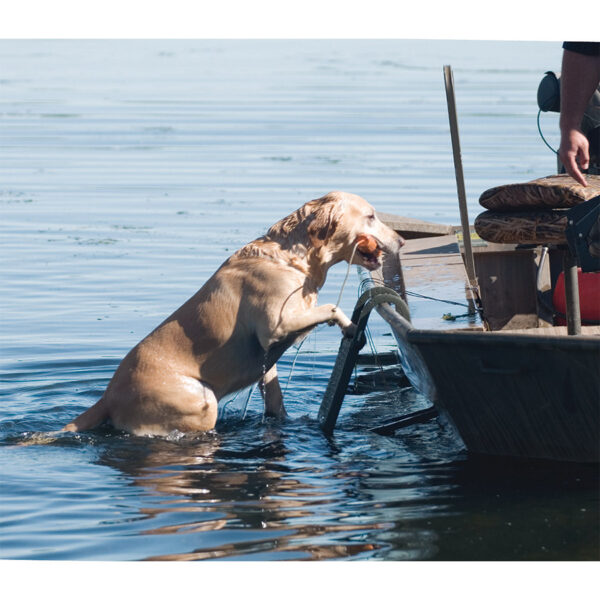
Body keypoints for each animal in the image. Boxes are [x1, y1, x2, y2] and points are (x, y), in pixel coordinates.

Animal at [64, 192, 404, 436]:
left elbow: (274, 396)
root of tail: (107, 397)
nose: (401, 240)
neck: (292, 259)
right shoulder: (275, 327)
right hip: (201, 402)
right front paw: (348, 326)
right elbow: (331, 307)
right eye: (371, 216)